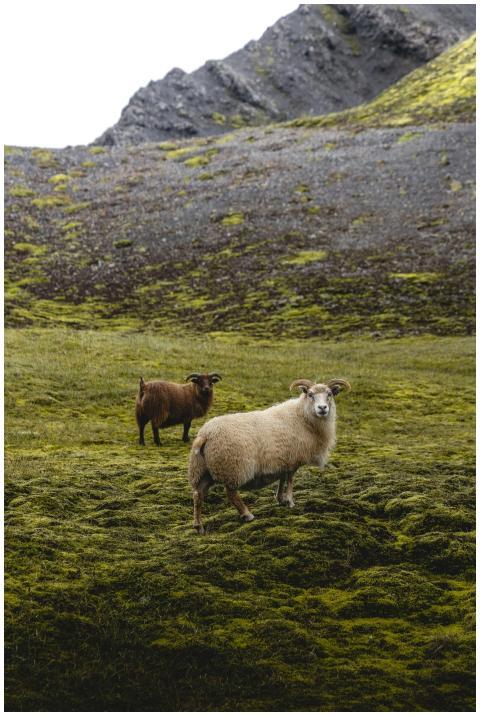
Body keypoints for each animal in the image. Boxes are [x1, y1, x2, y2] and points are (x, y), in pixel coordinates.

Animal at [188, 378, 350, 533]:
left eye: (329, 394)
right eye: (310, 395)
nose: (322, 408)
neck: (303, 417)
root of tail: (205, 434)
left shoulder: (284, 460)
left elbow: (282, 479)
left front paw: (280, 499)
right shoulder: (293, 460)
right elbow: (290, 481)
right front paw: (290, 501)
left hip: (203, 469)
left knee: (198, 494)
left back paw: (198, 526)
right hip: (233, 467)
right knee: (231, 493)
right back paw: (247, 514)